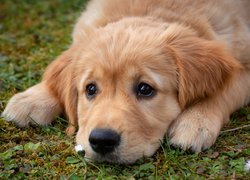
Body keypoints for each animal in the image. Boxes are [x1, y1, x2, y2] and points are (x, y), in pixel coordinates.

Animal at [1, 0, 250, 164]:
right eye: (90, 88)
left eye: (145, 89)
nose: (102, 140)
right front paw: (33, 98)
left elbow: (226, 89)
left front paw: (196, 121)